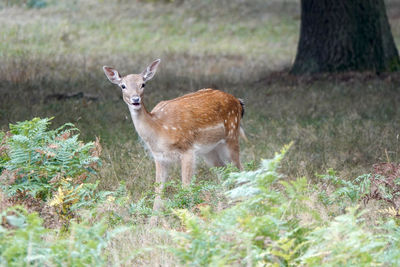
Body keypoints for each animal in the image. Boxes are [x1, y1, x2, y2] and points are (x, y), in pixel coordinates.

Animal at [102, 59, 247, 214]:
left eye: (143, 84)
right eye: (123, 86)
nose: (135, 100)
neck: (159, 129)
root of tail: (238, 102)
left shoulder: (187, 149)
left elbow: (186, 187)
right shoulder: (159, 157)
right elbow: (158, 191)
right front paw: (153, 220)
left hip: (232, 135)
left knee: (240, 169)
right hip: (209, 150)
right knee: (223, 170)